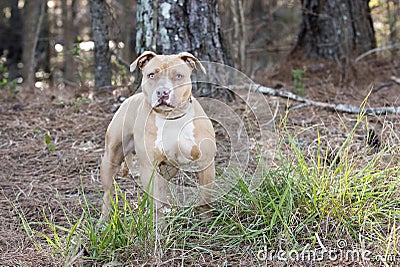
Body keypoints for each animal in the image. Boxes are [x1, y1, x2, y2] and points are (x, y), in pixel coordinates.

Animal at [101, 51, 217, 221]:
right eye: (151, 75)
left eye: (179, 76)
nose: (163, 92)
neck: (171, 118)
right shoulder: (149, 166)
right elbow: (155, 203)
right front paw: (158, 225)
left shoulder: (206, 163)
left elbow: (205, 200)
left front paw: (207, 222)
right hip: (112, 157)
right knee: (107, 193)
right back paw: (104, 221)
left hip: (170, 168)